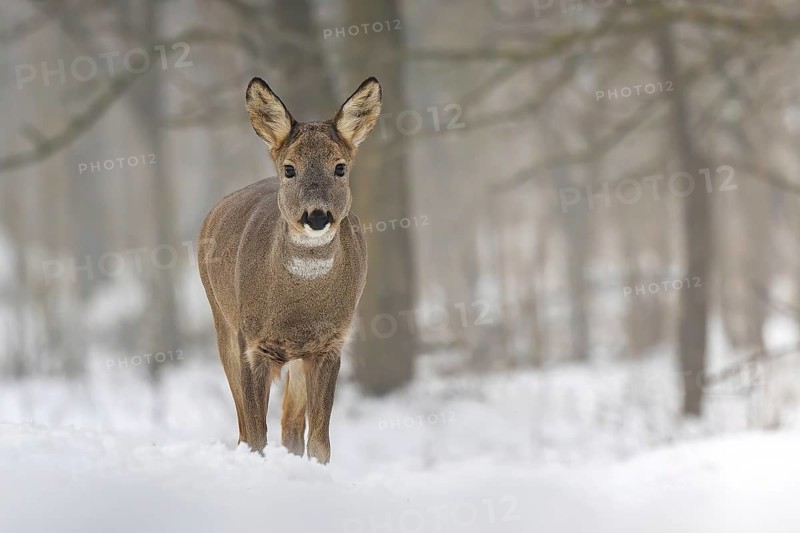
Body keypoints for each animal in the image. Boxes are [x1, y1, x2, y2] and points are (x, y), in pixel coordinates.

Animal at [198, 76, 382, 464]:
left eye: (340, 167)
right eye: (289, 168)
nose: (317, 216)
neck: (298, 308)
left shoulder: (330, 343)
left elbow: (320, 443)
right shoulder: (252, 343)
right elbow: (255, 435)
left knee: (291, 427)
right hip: (222, 322)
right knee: (242, 427)